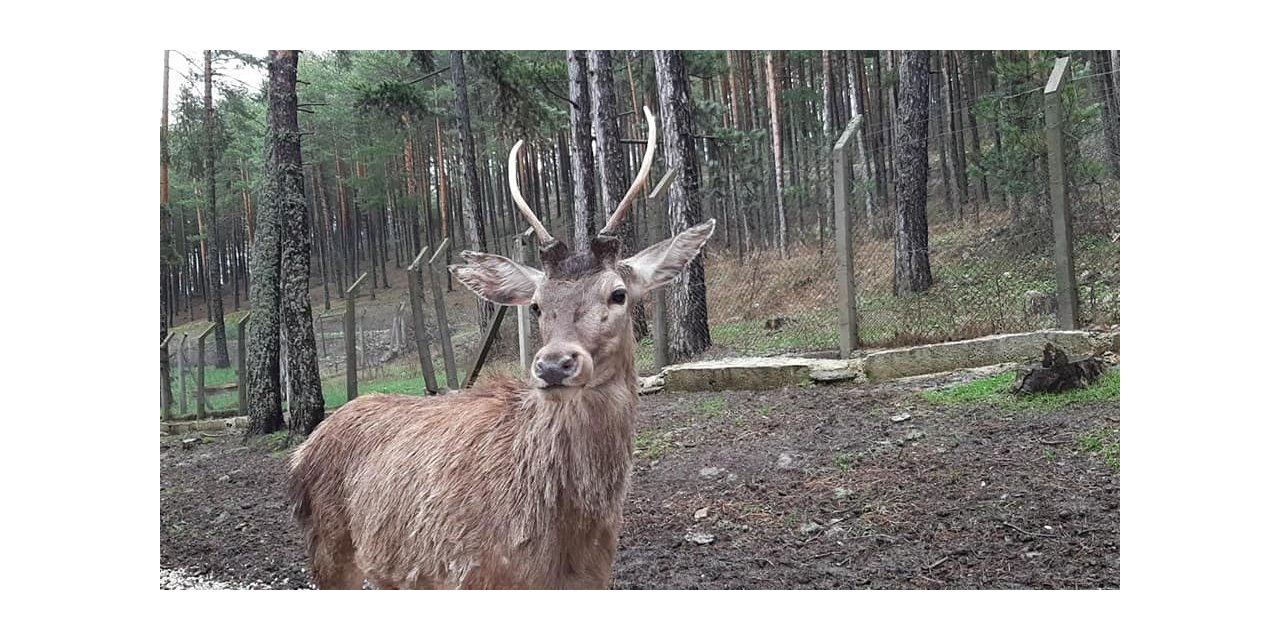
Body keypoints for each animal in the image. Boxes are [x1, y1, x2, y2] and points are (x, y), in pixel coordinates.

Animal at [284, 106, 716, 588]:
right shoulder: (472, 576)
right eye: (536, 305)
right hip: (329, 549)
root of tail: (300, 454)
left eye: (619, 294)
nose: (554, 365)